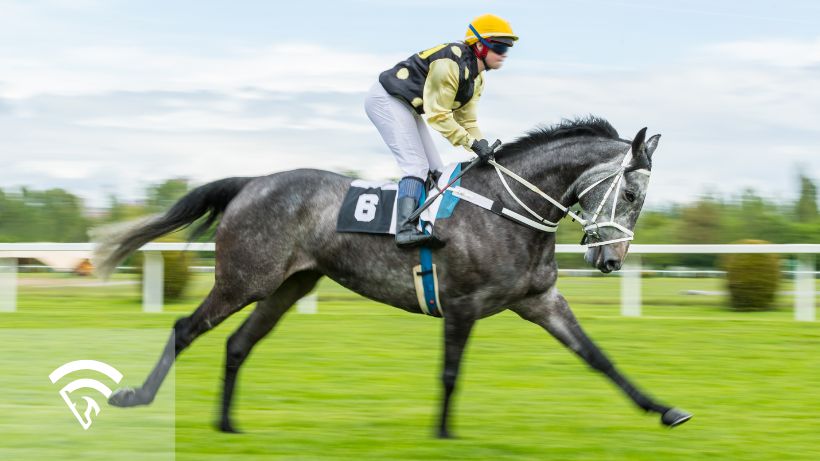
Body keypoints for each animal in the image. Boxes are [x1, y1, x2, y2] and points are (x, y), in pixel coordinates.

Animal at [99, 117, 696, 436]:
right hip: (244, 280)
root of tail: (253, 182)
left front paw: (665, 409)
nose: (611, 260)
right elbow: (451, 373)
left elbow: (598, 357)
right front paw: (444, 433)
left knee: (238, 344)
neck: (507, 207)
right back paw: (137, 399)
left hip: (289, 286)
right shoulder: (462, 304)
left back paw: (227, 424)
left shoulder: (541, 300)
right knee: (185, 330)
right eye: (633, 193)